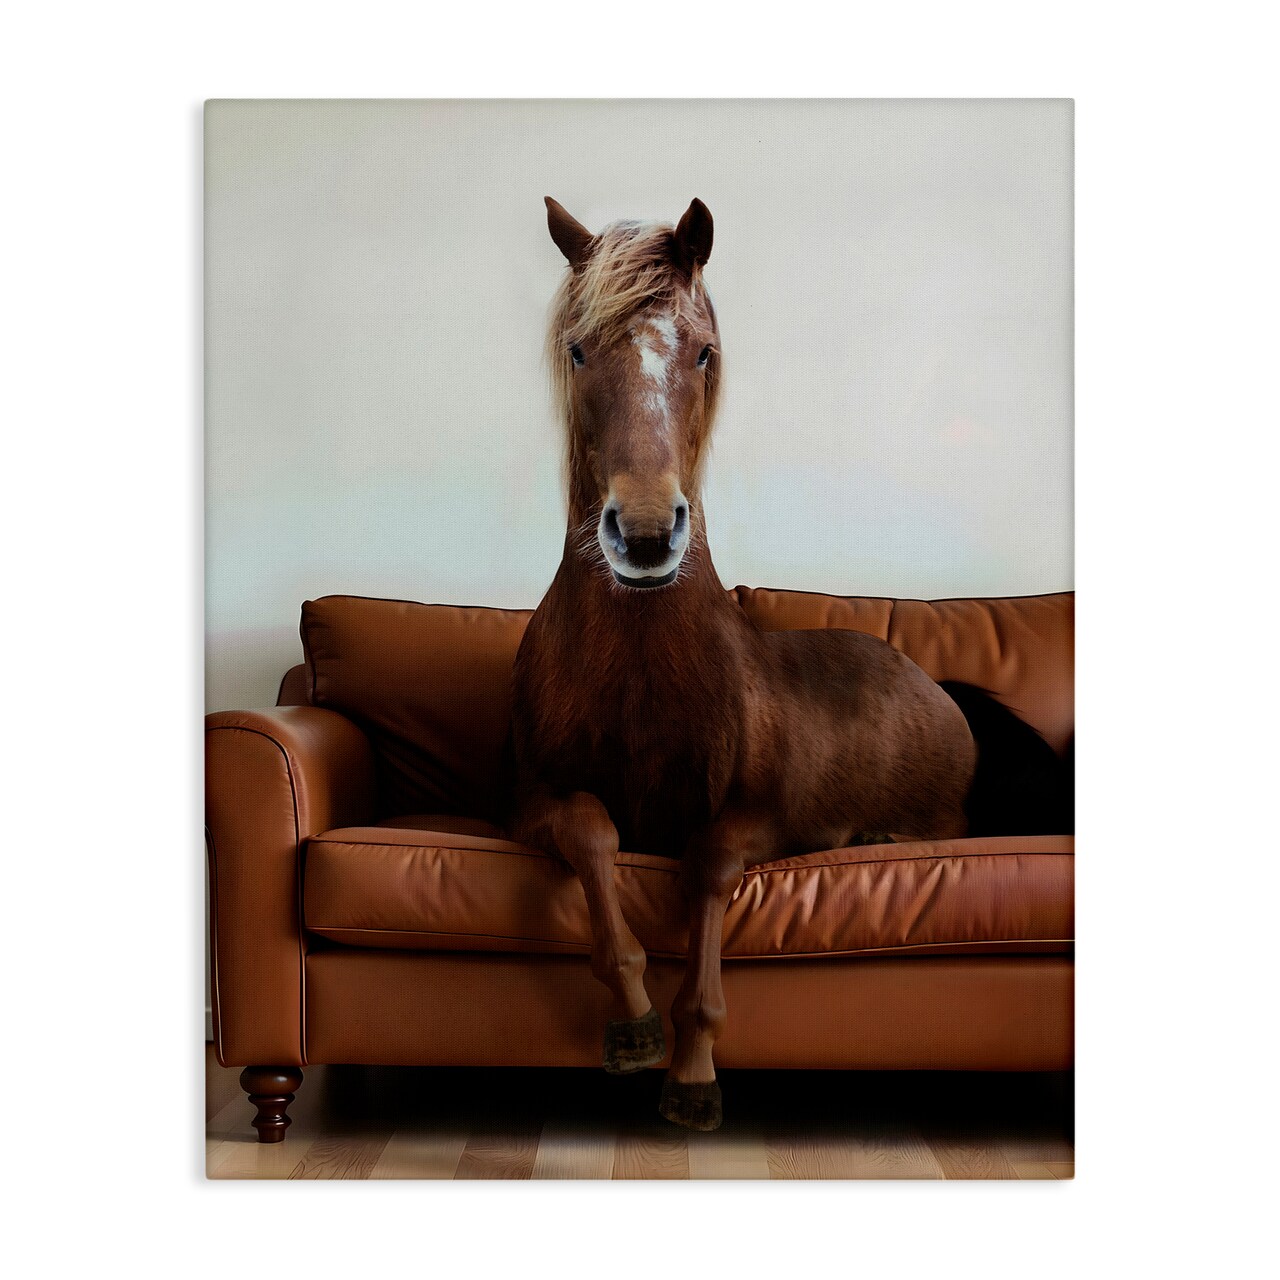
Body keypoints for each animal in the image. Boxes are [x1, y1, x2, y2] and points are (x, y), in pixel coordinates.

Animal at [508, 197, 1057, 1131]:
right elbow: (592, 831)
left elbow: (711, 869)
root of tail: (931, 679)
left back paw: (873, 834)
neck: (642, 671)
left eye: (702, 351)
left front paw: (693, 1067)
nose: (645, 534)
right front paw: (636, 1022)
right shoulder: (531, 802)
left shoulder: (761, 819)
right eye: (579, 349)